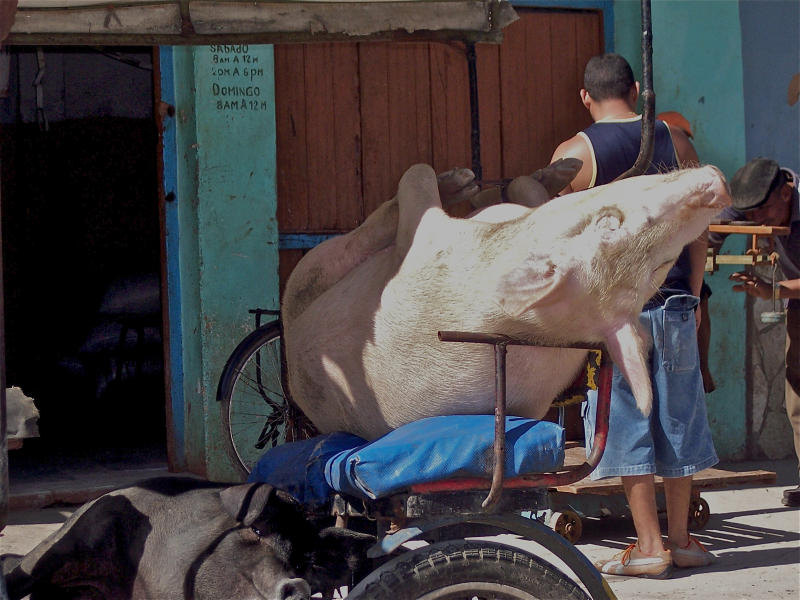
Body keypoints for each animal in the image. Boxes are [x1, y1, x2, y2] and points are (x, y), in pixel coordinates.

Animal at [282, 162, 732, 438]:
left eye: (658, 266)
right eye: (609, 223)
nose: (719, 182)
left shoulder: (431, 239)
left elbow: (417, 177)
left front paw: (467, 181)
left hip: (307, 272)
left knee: (361, 235)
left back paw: (459, 181)